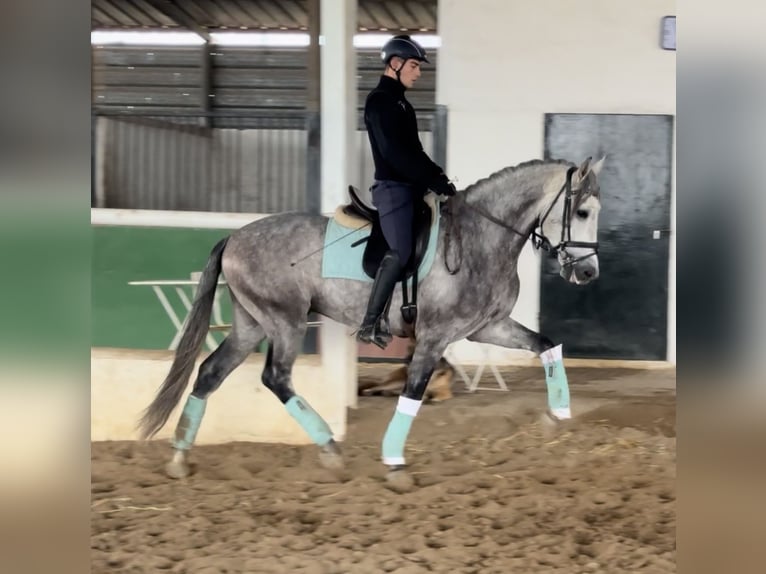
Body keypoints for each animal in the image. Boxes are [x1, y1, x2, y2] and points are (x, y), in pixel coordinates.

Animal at [137, 156, 605, 486]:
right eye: (582, 212)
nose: (587, 273)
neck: (480, 239)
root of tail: (234, 236)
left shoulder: (486, 327)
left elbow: (547, 345)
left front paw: (557, 415)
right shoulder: (434, 336)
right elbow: (412, 394)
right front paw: (395, 464)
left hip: (252, 325)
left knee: (210, 373)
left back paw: (179, 456)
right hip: (284, 322)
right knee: (276, 378)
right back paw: (329, 447)